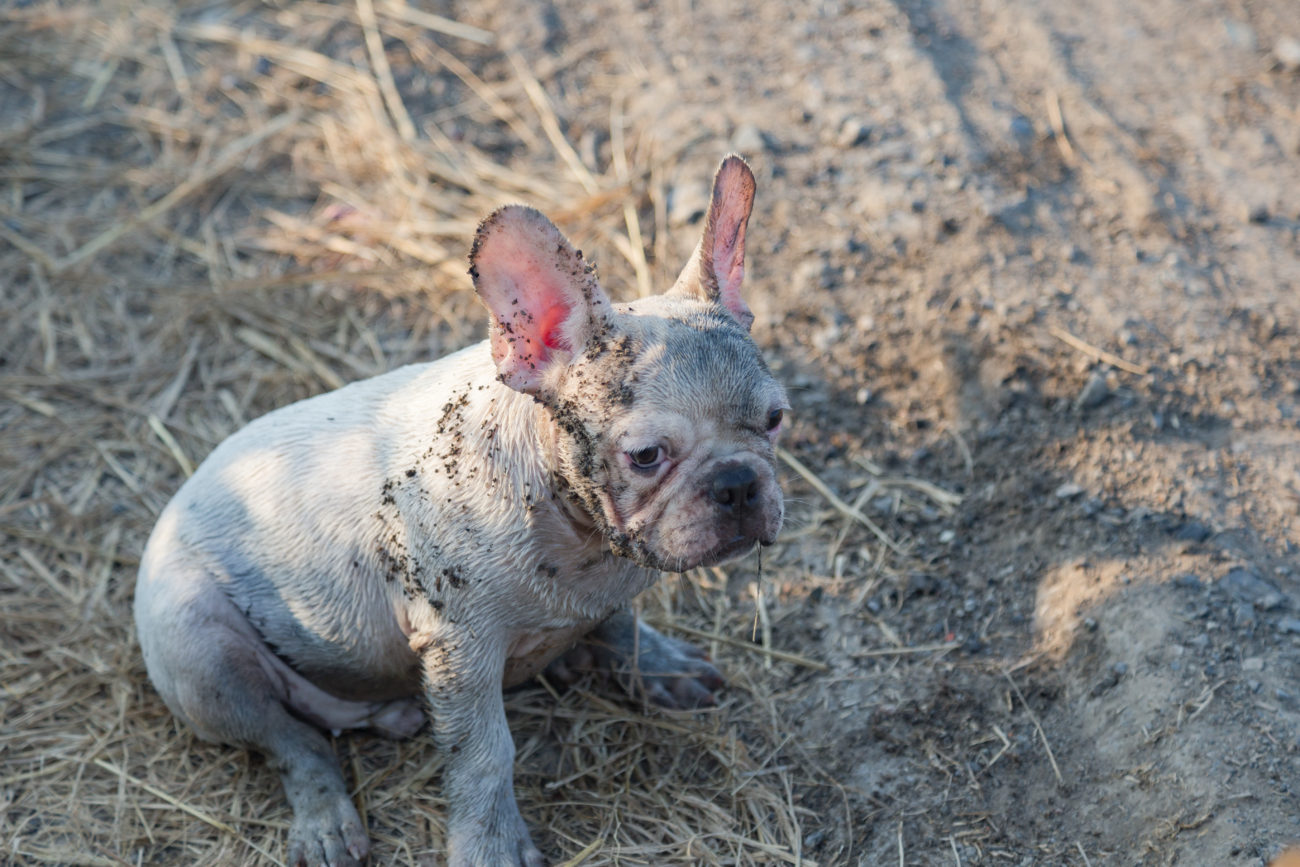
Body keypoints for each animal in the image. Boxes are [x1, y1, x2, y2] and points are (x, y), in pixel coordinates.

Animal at [134, 157, 780, 867]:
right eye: (645, 456)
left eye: (776, 420)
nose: (737, 484)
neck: (573, 527)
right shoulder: (459, 649)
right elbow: (484, 755)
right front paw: (492, 846)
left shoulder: (602, 589)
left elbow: (620, 625)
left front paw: (660, 666)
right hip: (197, 647)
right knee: (288, 738)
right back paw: (327, 820)